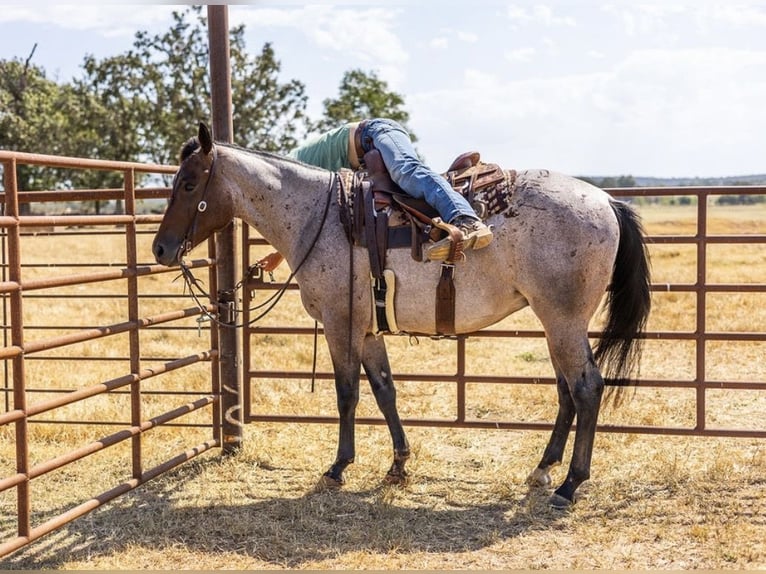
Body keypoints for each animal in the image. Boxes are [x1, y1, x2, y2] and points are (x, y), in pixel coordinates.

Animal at [152, 122, 651, 507]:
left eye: (189, 184)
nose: (159, 249)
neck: (319, 214)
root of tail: (606, 201)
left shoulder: (340, 324)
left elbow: (348, 394)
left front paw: (338, 467)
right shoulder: (368, 328)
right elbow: (385, 391)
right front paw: (398, 464)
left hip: (563, 321)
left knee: (586, 388)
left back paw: (569, 485)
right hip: (554, 323)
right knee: (567, 391)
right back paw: (544, 469)